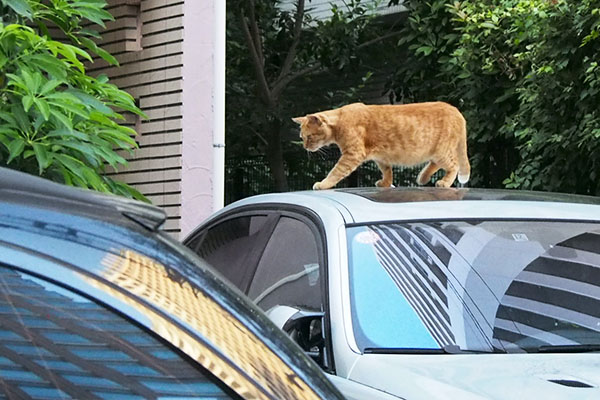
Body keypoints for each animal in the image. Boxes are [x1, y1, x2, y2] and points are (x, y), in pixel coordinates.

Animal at [292, 102, 472, 191]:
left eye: (309, 137)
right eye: (302, 138)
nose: (305, 147)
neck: (340, 119)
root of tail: (456, 110)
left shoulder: (352, 155)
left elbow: (335, 172)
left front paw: (323, 184)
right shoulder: (380, 158)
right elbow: (387, 171)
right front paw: (386, 183)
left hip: (442, 151)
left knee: (454, 165)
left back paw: (444, 182)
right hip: (435, 152)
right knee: (435, 164)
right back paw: (423, 177)